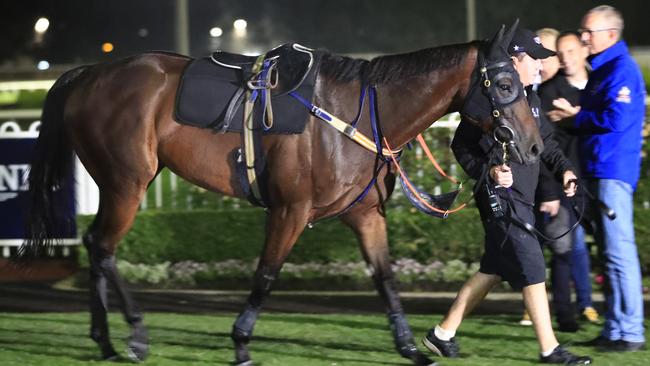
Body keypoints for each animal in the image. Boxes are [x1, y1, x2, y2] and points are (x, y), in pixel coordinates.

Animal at [25, 21, 540, 364]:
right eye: (505, 83)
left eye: (523, 82)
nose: (534, 146)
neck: (354, 115)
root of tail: (88, 75)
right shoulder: (290, 209)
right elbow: (267, 273)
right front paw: (241, 340)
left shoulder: (366, 214)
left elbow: (385, 277)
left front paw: (410, 344)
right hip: (127, 183)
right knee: (104, 246)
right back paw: (133, 334)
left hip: (127, 182)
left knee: (95, 244)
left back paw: (105, 339)